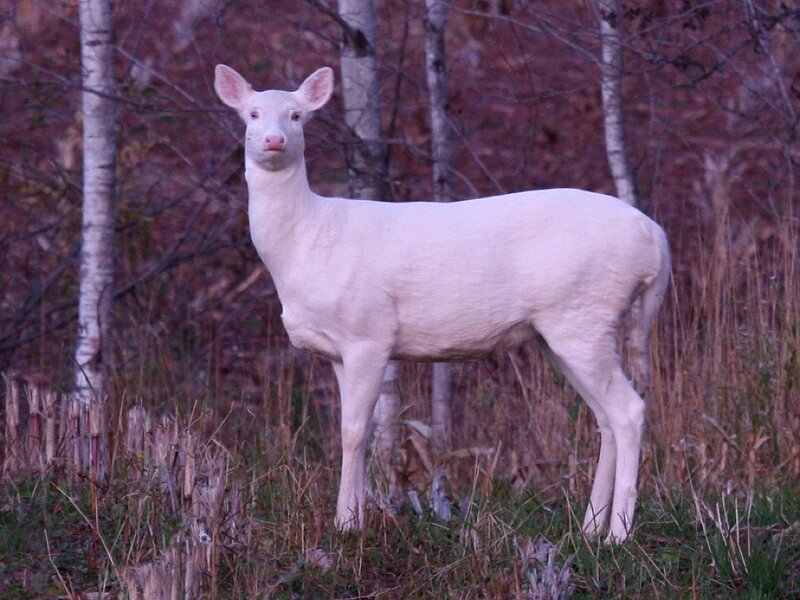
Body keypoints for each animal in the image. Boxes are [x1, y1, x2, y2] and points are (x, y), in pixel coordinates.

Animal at [213, 64, 670, 543]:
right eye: (251, 114)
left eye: (297, 115)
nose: (275, 140)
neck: (306, 241)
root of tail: (655, 235)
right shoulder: (336, 349)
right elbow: (364, 431)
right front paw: (357, 517)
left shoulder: (368, 331)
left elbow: (354, 431)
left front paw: (345, 526)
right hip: (571, 330)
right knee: (605, 418)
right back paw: (589, 529)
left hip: (583, 314)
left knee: (630, 411)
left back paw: (618, 535)